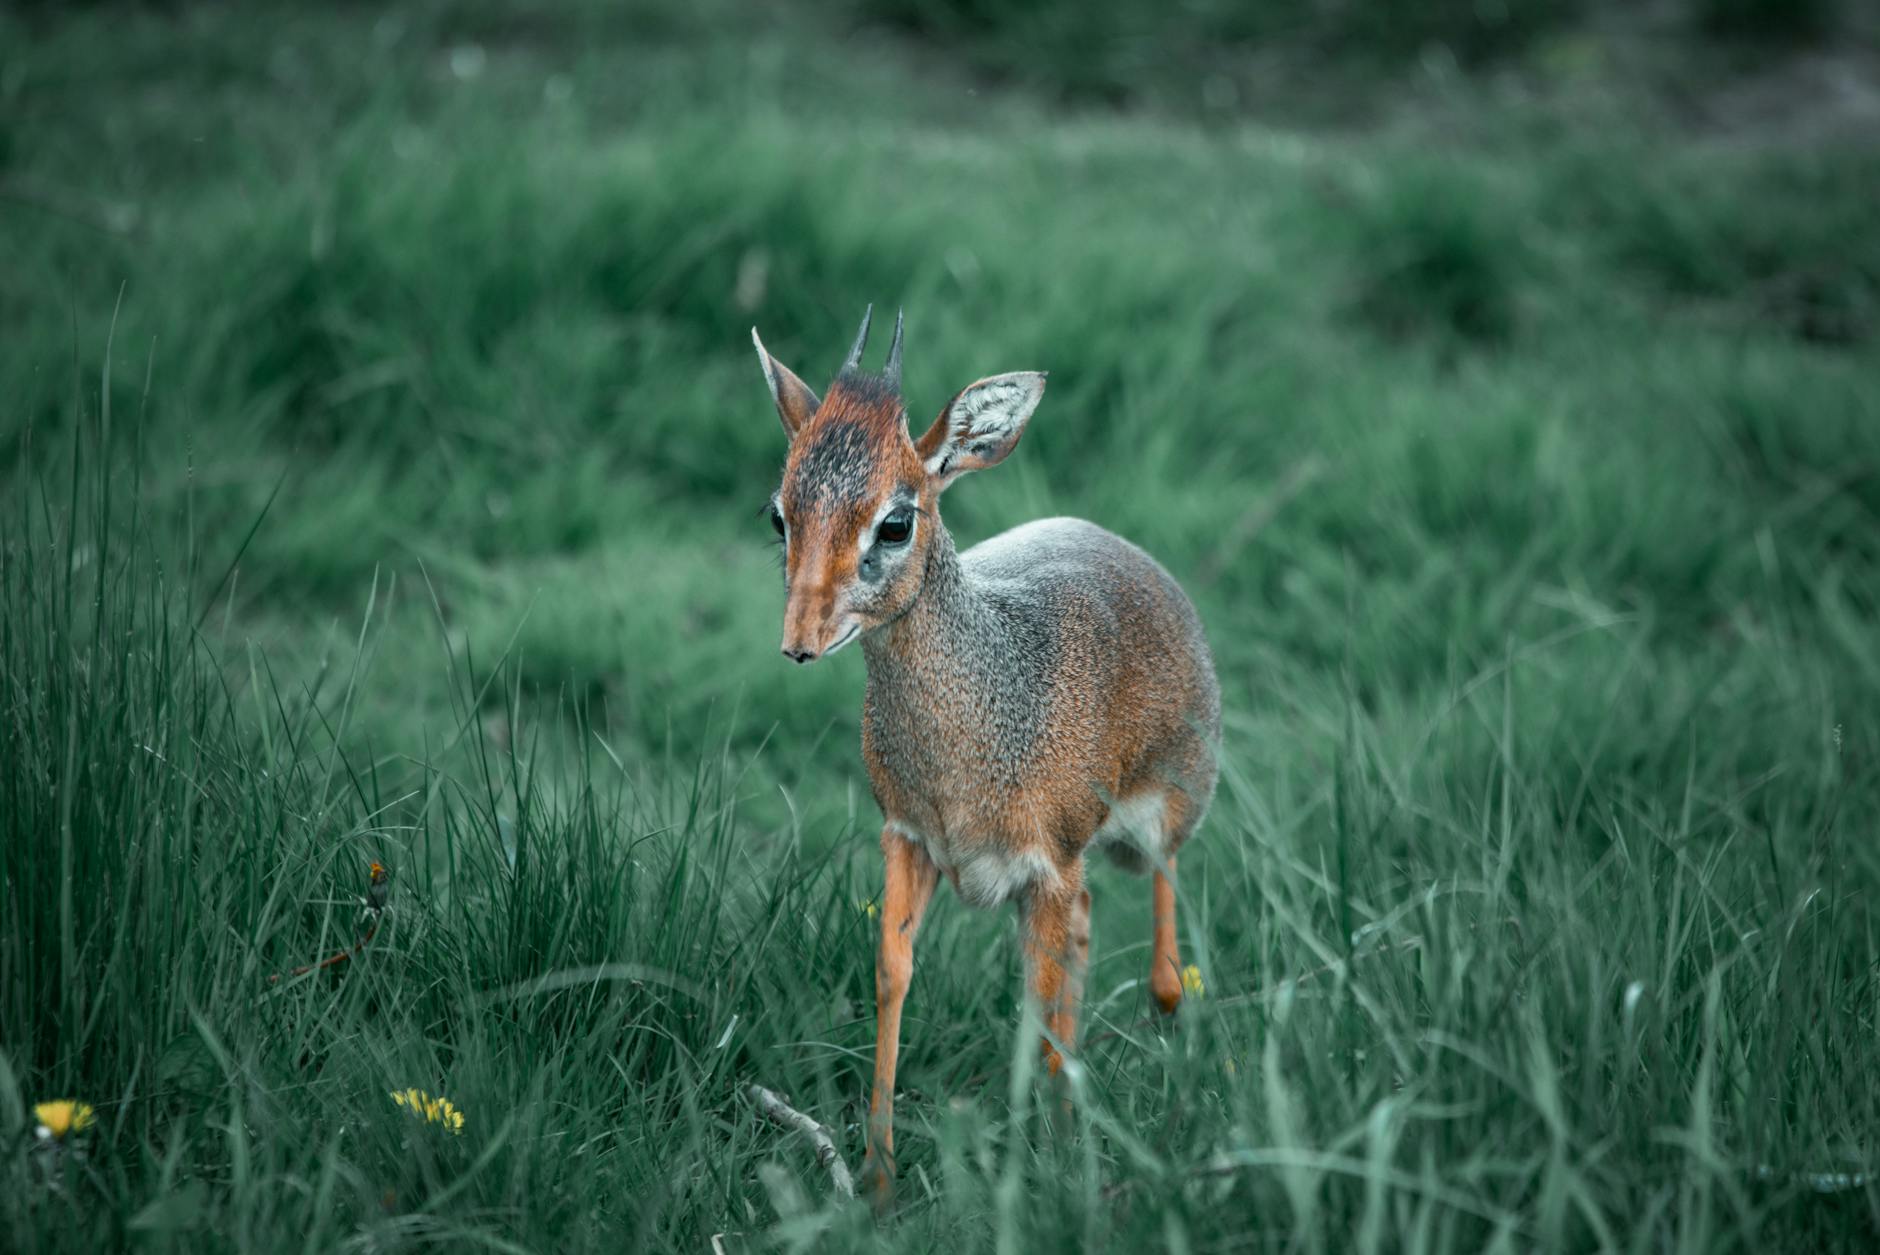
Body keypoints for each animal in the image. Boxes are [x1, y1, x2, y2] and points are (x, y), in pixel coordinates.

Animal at [752, 308, 1220, 1203]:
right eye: (779, 512)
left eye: (896, 519)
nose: (797, 642)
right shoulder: (908, 837)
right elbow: (892, 969)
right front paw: (878, 1176)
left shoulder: (1047, 861)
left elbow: (1037, 994)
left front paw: (1046, 1175)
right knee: (1082, 942)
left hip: (1160, 825)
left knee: (1164, 968)